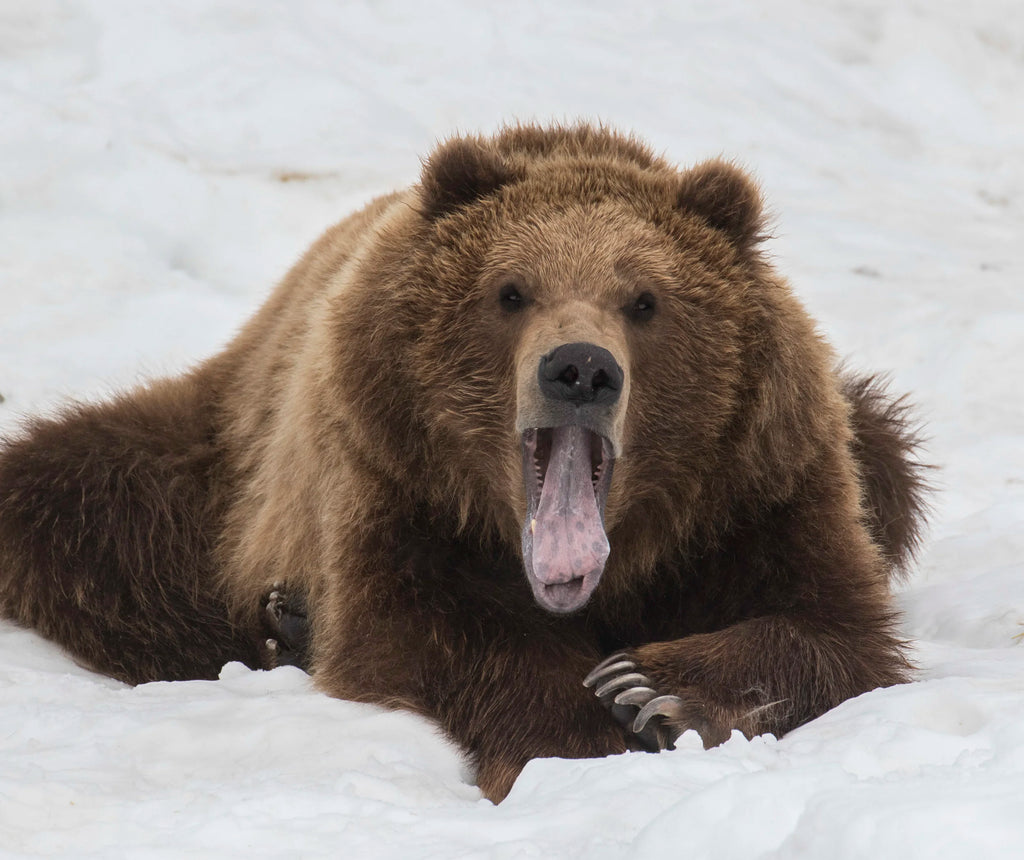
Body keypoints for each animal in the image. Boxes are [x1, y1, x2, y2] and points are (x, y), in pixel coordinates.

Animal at [0, 124, 928, 802]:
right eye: (510, 290)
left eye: (646, 299)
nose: (580, 369)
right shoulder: (396, 478)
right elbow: (432, 640)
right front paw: (578, 737)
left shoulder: (760, 487)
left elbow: (836, 630)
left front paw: (648, 686)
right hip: (220, 458)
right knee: (72, 499)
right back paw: (282, 622)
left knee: (889, 456)